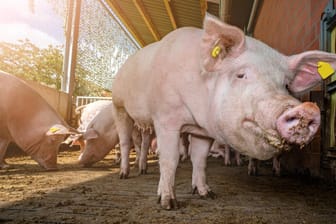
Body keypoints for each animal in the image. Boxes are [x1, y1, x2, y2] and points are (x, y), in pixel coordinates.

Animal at [111, 13, 336, 210]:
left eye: (287, 85)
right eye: (241, 75)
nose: (307, 109)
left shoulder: (202, 131)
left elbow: (200, 160)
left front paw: (206, 194)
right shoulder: (166, 118)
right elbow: (169, 159)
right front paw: (168, 204)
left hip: (144, 123)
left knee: (144, 142)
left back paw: (142, 170)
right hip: (119, 106)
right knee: (125, 141)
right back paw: (124, 174)